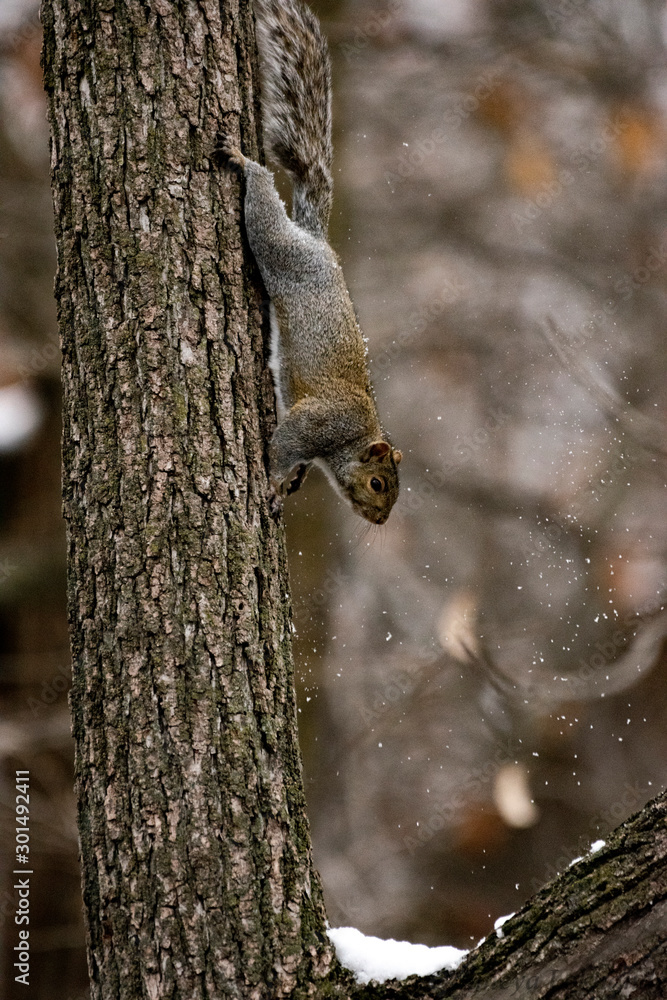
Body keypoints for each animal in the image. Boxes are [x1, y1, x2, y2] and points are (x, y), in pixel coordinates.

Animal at [221, 0, 401, 525]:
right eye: (378, 484)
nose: (380, 520)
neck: (351, 440)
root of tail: (319, 241)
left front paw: (291, 484)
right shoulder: (317, 424)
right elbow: (284, 446)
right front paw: (272, 483)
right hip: (284, 252)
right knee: (264, 211)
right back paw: (245, 162)